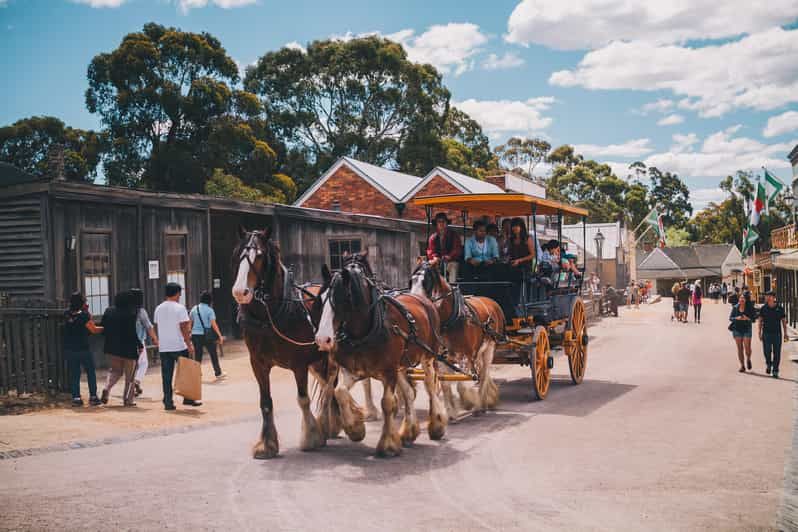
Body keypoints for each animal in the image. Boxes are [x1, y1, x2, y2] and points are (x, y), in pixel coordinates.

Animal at [234, 227, 340, 460]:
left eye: (260, 256)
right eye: (239, 255)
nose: (240, 292)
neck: (270, 316)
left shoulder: (298, 364)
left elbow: (303, 399)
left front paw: (310, 438)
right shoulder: (258, 363)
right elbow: (265, 403)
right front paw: (266, 445)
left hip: (330, 356)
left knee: (330, 386)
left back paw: (330, 425)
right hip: (316, 361)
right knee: (327, 386)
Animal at [316, 254, 446, 458]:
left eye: (341, 299)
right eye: (320, 298)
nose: (323, 339)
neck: (365, 330)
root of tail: (423, 300)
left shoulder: (388, 372)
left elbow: (388, 403)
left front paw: (388, 445)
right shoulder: (353, 370)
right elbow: (340, 392)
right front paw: (355, 429)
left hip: (428, 358)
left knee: (430, 387)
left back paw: (436, 425)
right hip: (401, 364)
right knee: (408, 393)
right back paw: (409, 431)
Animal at [412, 258, 506, 416]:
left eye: (426, 282)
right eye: (411, 280)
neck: (449, 320)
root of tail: (492, 302)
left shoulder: (466, 355)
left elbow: (462, 383)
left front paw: (469, 402)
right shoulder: (441, 358)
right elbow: (445, 383)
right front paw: (451, 412)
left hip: (489, 349)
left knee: (484, 374)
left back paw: (482, 403)